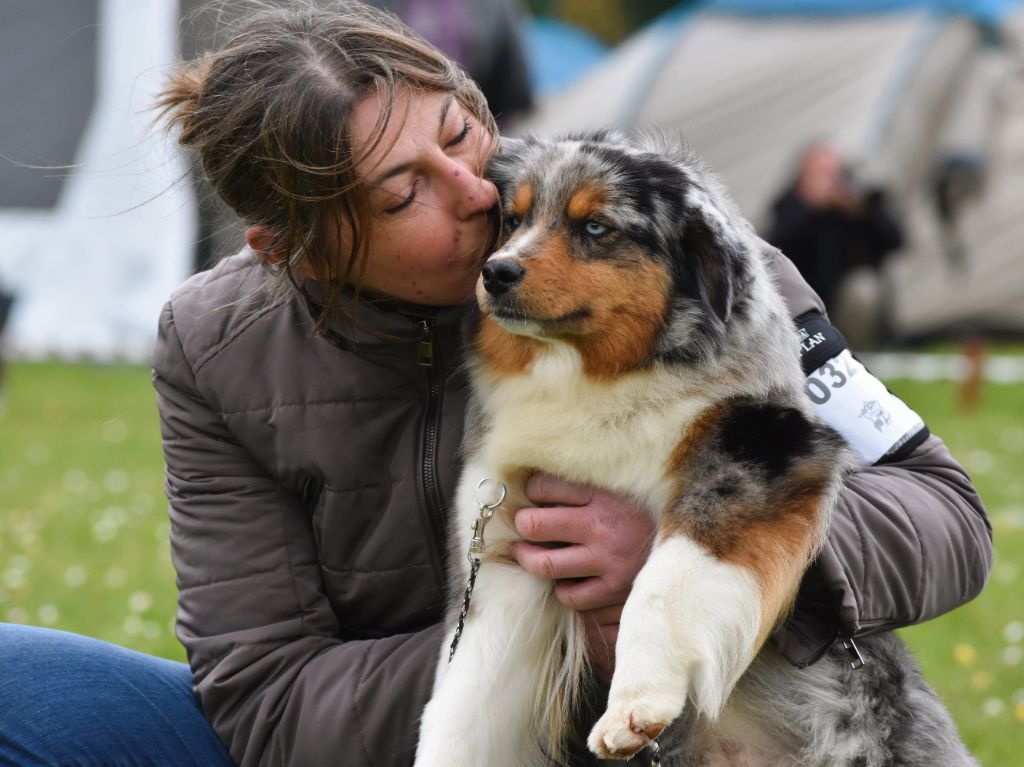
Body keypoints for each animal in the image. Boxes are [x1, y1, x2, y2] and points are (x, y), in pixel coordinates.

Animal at [409, 132, 974, 765]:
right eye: (513, 219)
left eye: (597, 227)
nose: (496, 271)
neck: (592, 380)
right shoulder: (506, 560)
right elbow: (459, 709)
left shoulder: (757, 450)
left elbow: (661, 584)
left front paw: (637, 703)